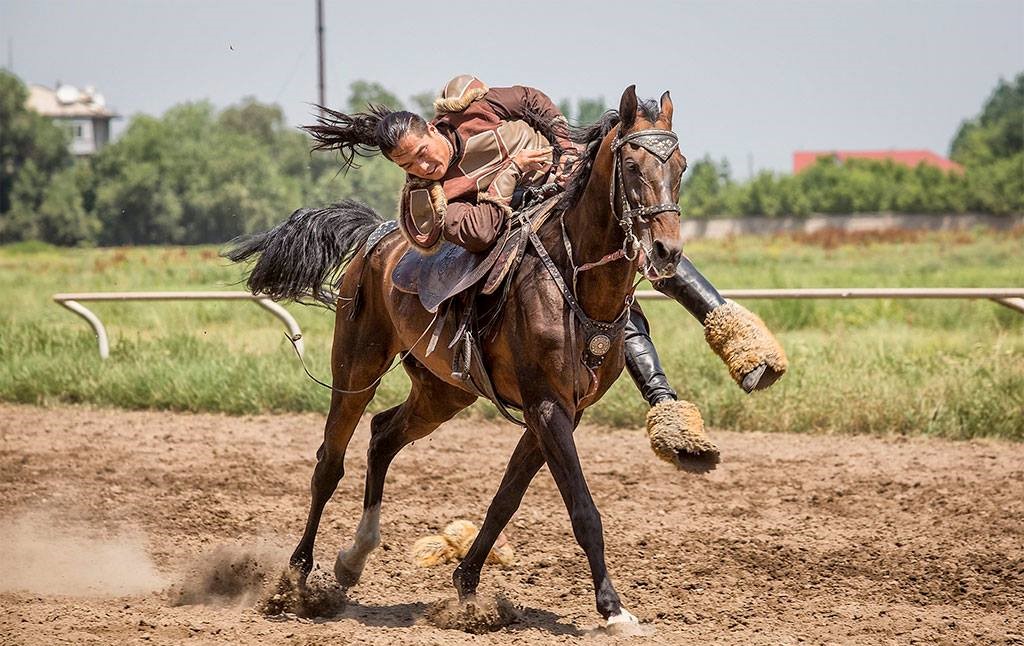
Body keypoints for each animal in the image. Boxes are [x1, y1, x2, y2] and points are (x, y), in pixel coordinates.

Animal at [230, 84, 688, 626]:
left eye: (681, 166)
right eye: (633, 166)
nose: (666, 251)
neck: (574, 284)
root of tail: (375, 237)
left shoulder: (560, 413)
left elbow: (505, 499)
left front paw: (467, 585)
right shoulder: (547, 406)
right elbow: (582, 508)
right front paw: (613, 608)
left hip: (443, 393)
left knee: (382, 436)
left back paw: (353, 558)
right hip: (356, 370)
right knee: (329, 464)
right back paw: (297, 579)